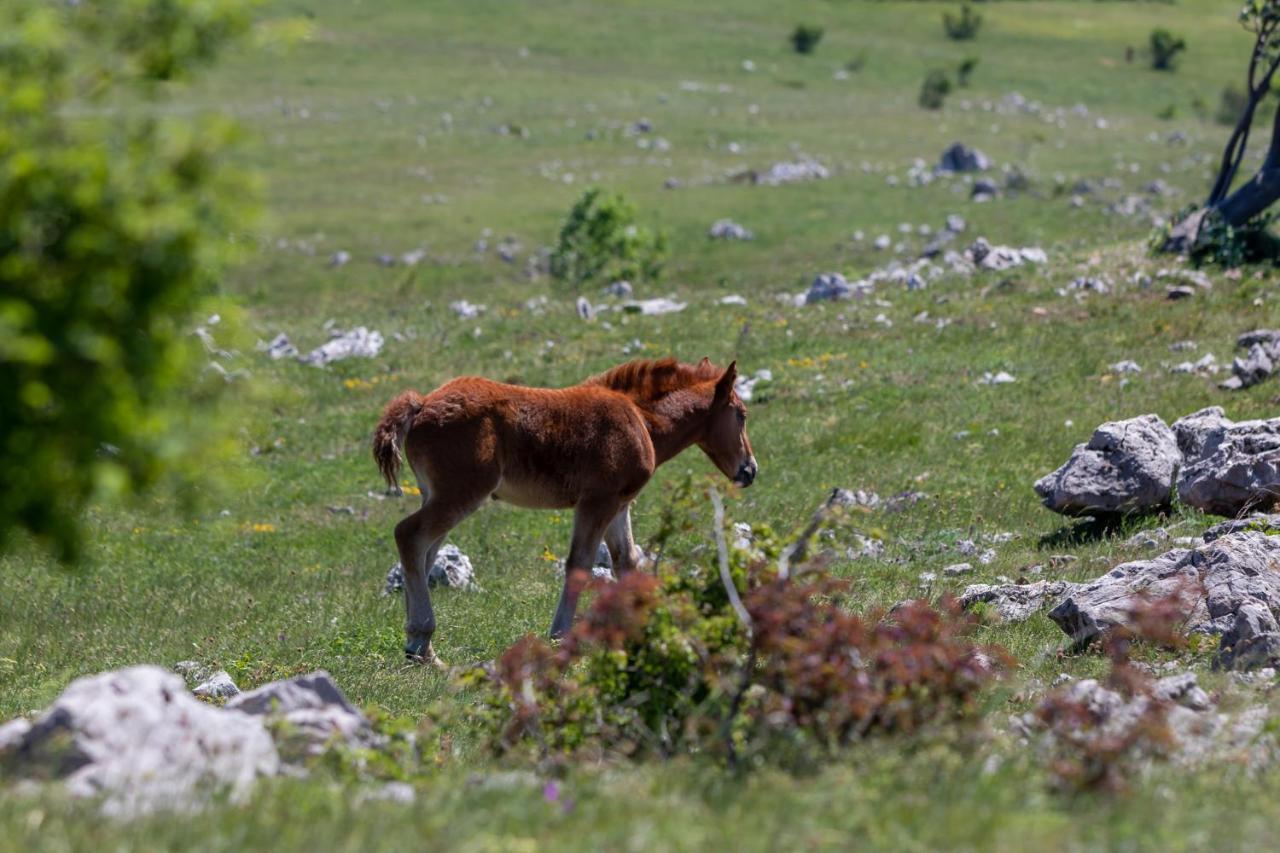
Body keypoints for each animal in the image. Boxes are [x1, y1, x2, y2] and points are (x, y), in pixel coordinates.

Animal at [371, 356, 752, 660]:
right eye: (741, 414)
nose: (749, 470)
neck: (641, 419)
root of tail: (421, 404)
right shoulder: (597, 501)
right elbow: (580, 563)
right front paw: (561, 636)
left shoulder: (620, 504)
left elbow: (627, 561)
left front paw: (643, 630)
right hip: (462, 493)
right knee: (409, 535)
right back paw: (421, 643)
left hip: (437, 494)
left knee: (424, 551)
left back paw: (421, 646)